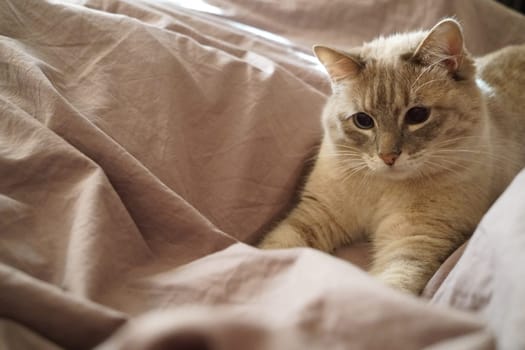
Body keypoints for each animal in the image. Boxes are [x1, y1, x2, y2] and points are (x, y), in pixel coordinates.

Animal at [258, 17, 524, 294]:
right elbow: (275, 248)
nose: (388, 157)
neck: (383, 187)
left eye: (417, 115)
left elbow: (392, 286)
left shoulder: (414, 240)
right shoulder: (318, 214)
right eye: (363, 121)